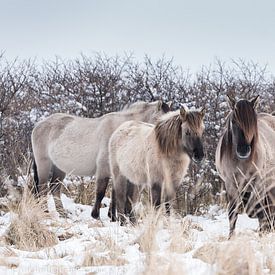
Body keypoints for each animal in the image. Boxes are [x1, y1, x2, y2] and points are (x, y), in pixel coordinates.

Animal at [31, 99, 171, 218]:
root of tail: (38, 125)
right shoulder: (104, 169)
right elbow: (101, 192)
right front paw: (96, 215)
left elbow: (114, 194)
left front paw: (112, 217)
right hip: (44, 164)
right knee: (43, 187)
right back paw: (45, 211)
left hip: (59, 167)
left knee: (54, 188)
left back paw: (62, 213)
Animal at [217, 96, 275, 238]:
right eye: (234, 122)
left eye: (253, 122)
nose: (243, 151)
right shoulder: (231, 183)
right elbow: (232, 213)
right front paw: (231, 238)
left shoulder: (258, 182)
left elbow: (257, 208)